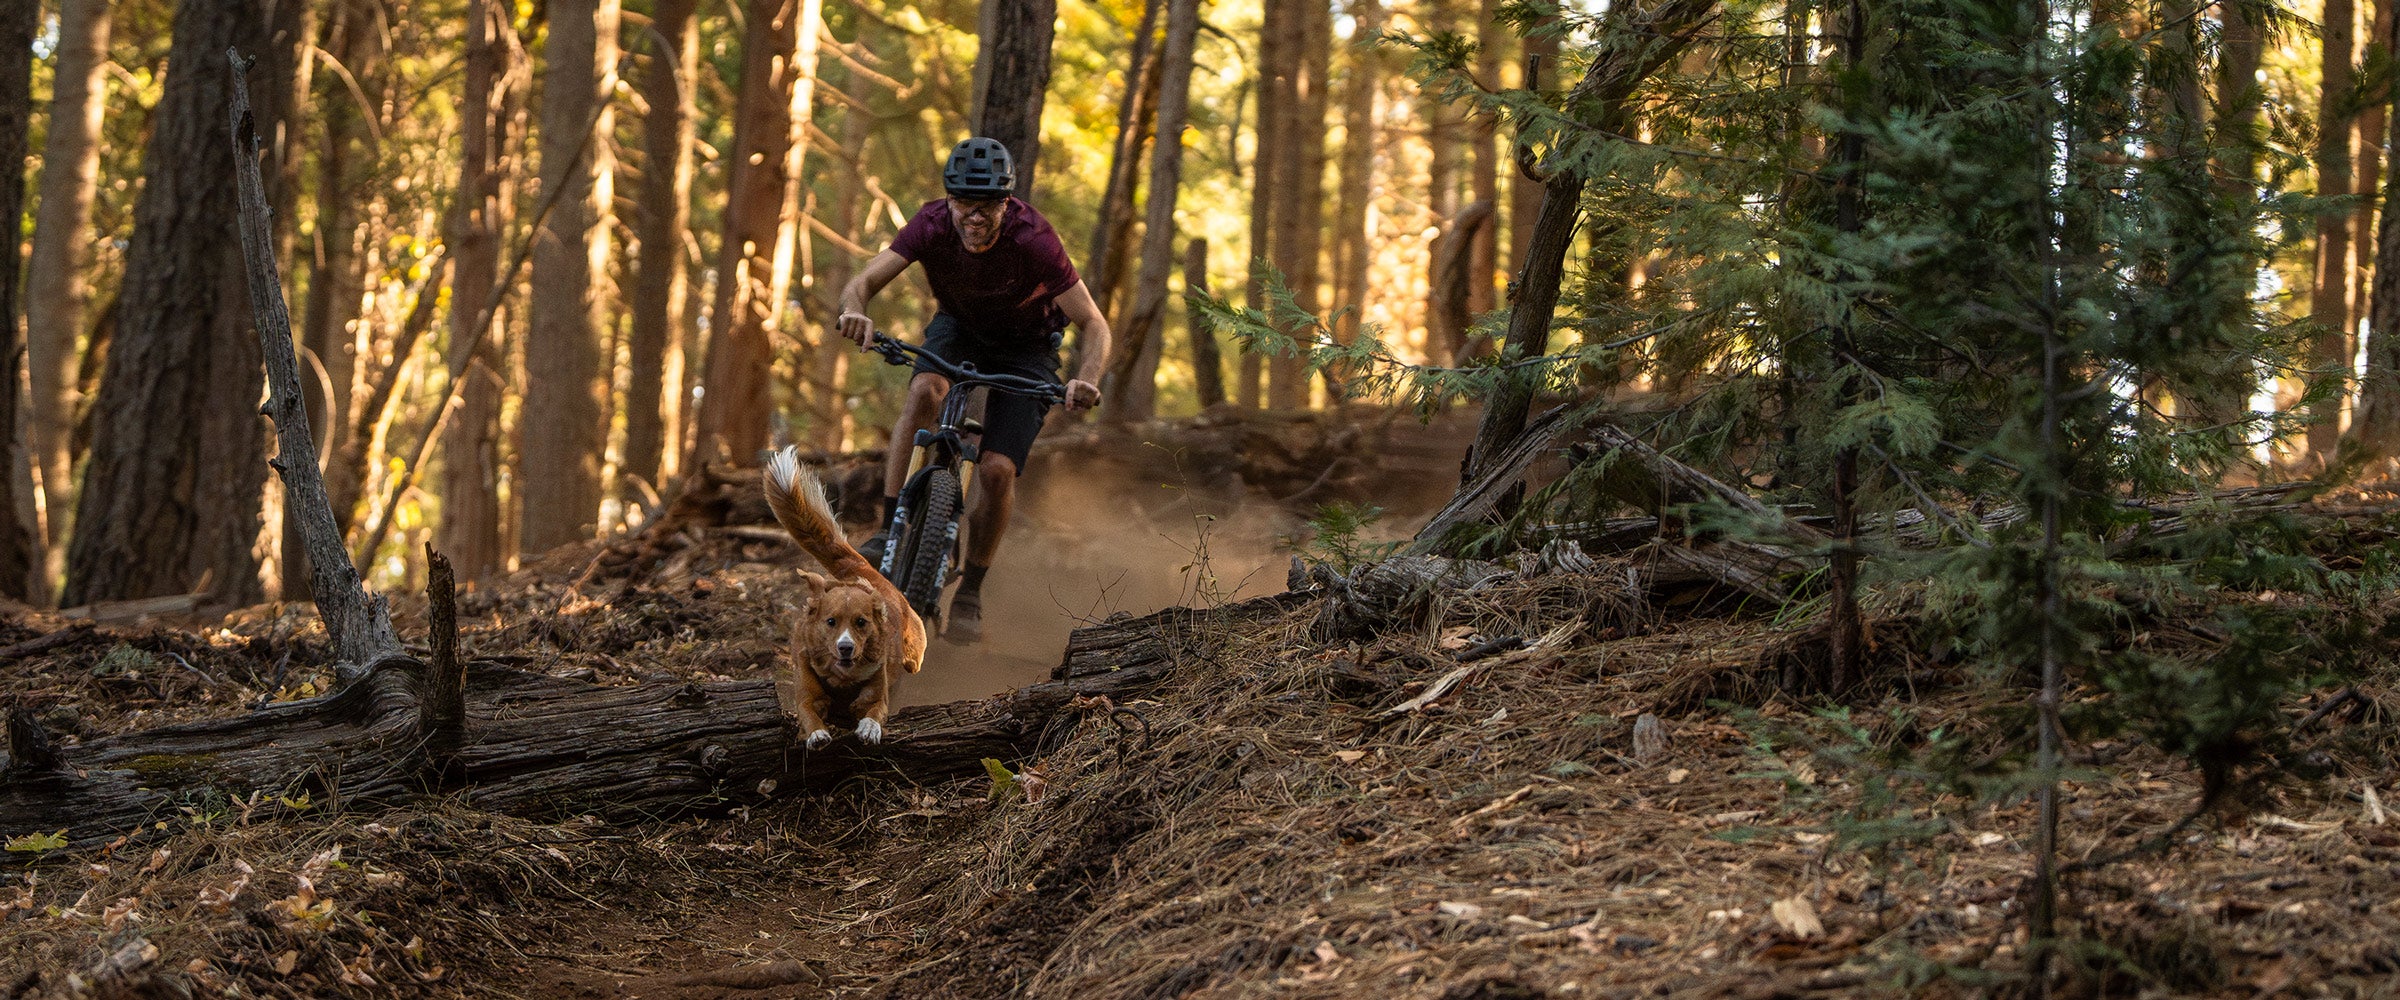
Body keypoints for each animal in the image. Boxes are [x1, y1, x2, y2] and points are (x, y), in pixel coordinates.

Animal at [768, 448, 926, 743]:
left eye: (861, 623)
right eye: (830, 622)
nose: (845, 647)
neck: (842, 680)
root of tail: (863, 572)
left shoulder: (876, 697)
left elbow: (874, 711)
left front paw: (869, 728)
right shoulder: (806, 695)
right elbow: (809, 714)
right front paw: (817, 734)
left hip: (914, 654)